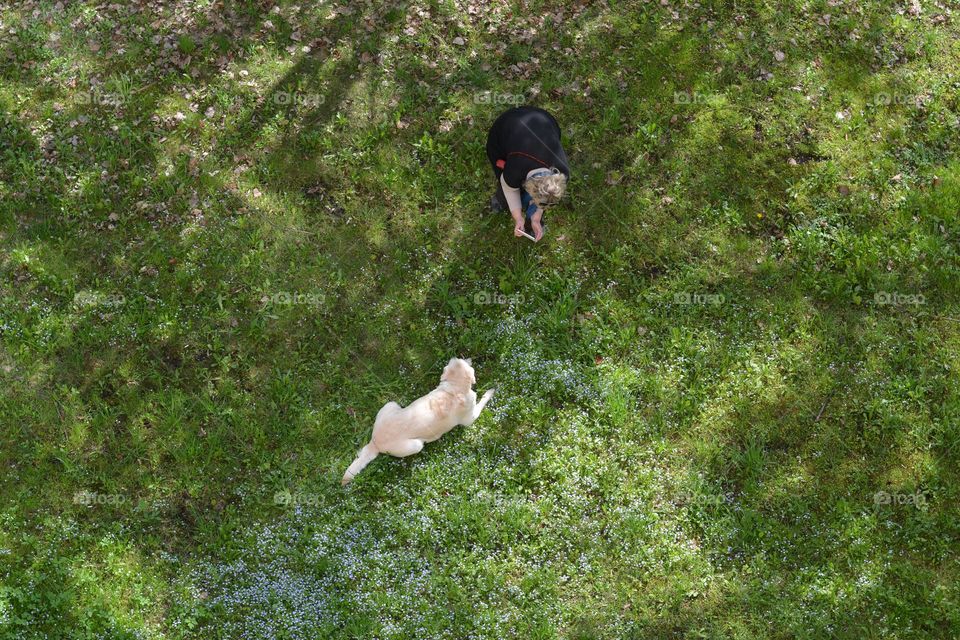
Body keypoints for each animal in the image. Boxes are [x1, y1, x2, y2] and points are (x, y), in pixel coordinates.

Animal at [342, 358, 496, 488]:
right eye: (462, 360)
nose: (469, 358)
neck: (454, 389)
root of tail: (375, 442)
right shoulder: (470, 418)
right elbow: (482, 402)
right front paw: (490, 392)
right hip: (416, 445)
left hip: (390, 403)